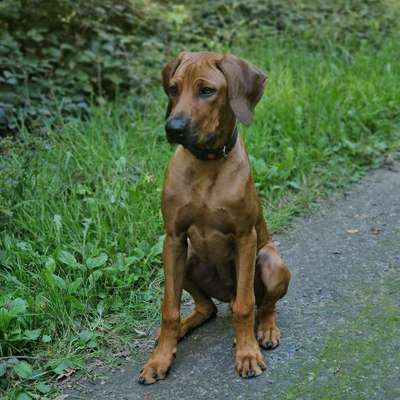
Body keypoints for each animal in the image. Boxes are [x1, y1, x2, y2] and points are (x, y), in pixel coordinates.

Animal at [139, 52, 290, 384]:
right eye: (173, 88)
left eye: (207, 91)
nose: (173, 128)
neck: (206, 163)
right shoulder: (173, 239)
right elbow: (168, 309)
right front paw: (159, 359)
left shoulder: (246, 237)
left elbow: (246, 306)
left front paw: (247, 354)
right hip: (187, 257)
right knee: (206, 307)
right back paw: (179, 331)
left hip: (272, 262)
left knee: (261, 305)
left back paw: (265, 330)